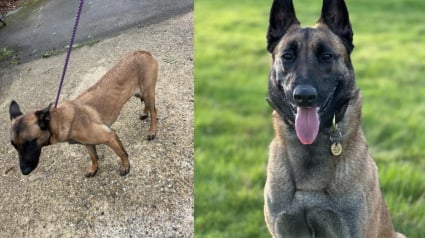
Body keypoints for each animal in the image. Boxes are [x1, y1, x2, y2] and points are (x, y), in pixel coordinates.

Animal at [9, 50, 158, 177]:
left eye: (30, 143)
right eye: (14, 146)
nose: (24, 171)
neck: (60, 119)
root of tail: (142, 52)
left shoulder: (109, 136)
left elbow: (121, 153)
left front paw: (126, 166)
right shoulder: (88, 144)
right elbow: (93, 156)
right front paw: (94, 168)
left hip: (148, 92)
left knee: (154, 111)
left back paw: (152, 131)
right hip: (140, 93)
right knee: (148, 106)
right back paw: (144, 114)